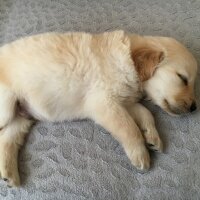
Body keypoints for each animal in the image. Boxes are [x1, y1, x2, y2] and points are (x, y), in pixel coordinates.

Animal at [0, 30, 197, 187]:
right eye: (182, 78)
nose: (194, 107)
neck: (126, 60)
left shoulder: (125, 101)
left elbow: (146, 113)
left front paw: (152, 137)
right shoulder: (105, 103)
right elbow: (129, 128)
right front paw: (140, 154)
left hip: (20, 117)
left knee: (6, 139)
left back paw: (9, 174)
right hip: (6, 105)